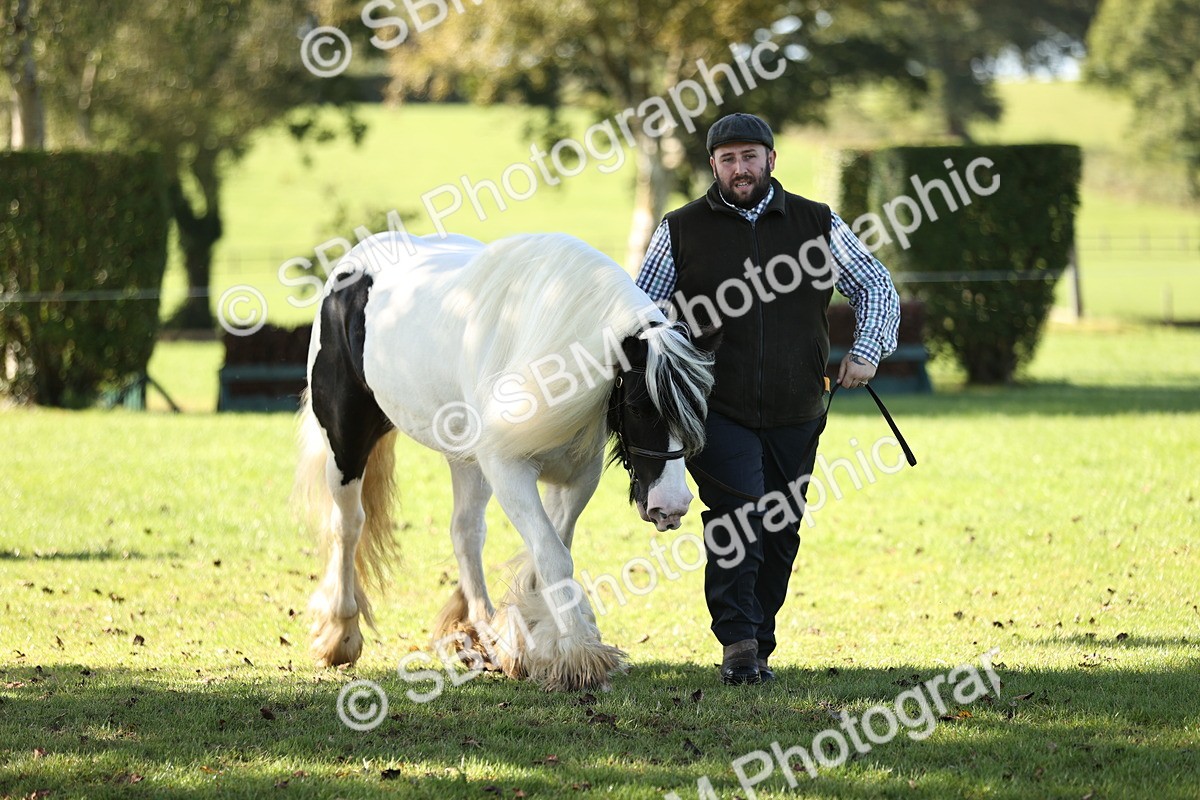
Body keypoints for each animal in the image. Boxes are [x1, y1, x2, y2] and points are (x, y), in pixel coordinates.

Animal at [293, 231, 714, 691]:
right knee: (348, 527)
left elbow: (549, 553)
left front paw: (533, 642)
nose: (672, 506)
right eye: (638, 406)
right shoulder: (507, 469)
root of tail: (352, 263)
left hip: (463, 459)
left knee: (465, 533)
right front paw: (578, 657)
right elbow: (553, 556)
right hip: (346, 440)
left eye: (700, 403)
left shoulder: (576, 478)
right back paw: (342, 635)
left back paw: (480, 637)